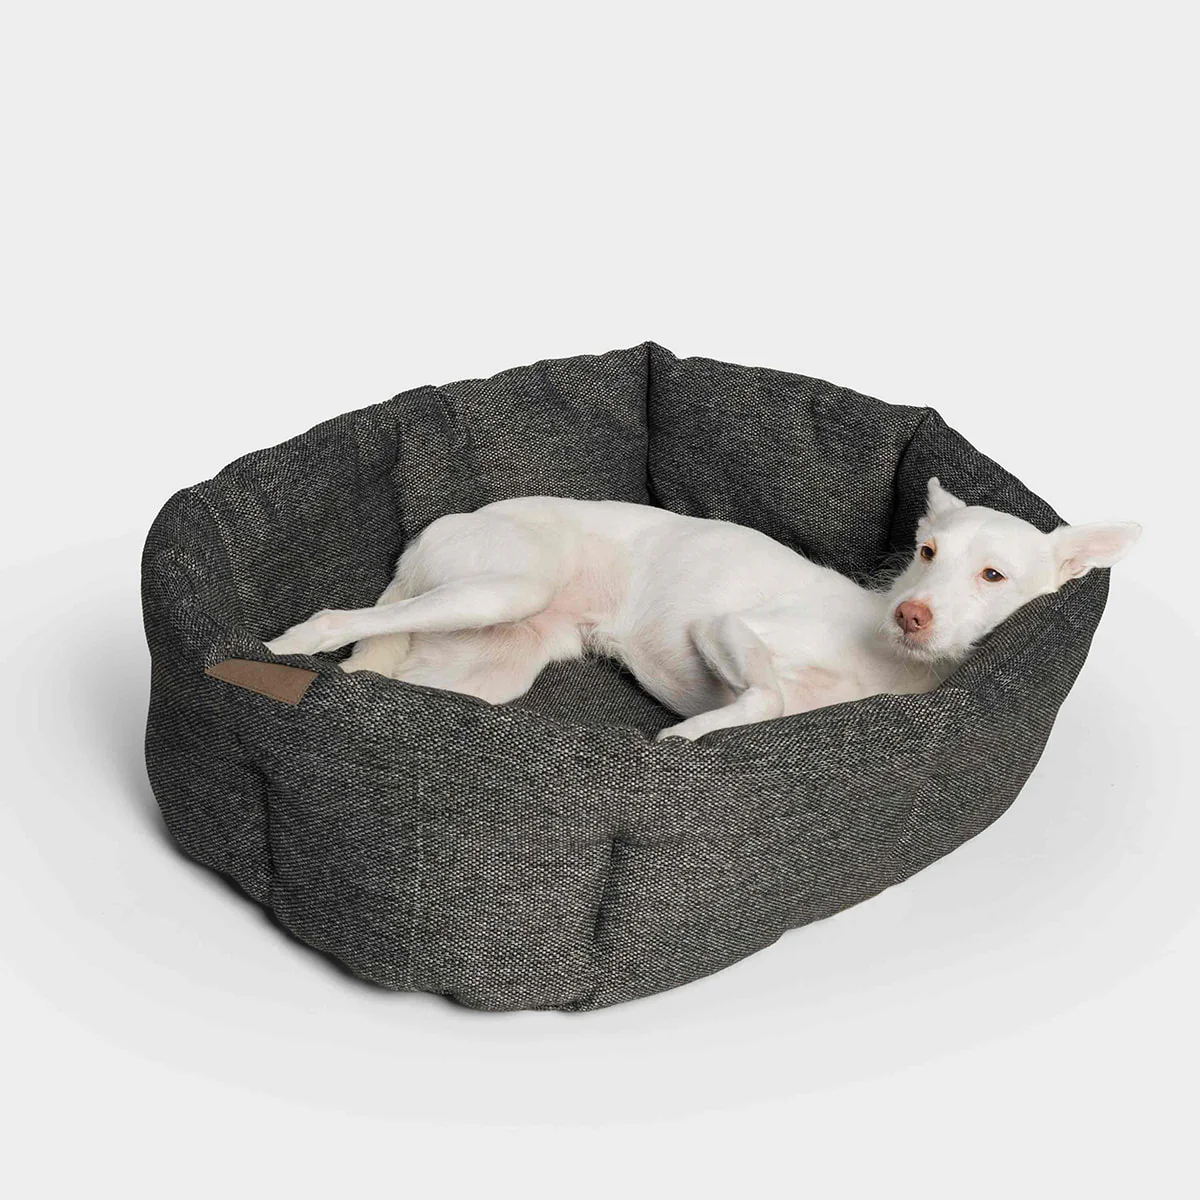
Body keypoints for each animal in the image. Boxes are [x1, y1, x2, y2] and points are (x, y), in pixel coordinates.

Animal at [265, 479, 1140, 740]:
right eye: (926, 553)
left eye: (993, 576)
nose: (913, 615)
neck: (886, 660)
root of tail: (435, 527)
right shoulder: (723, 630)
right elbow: (768, 693)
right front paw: (690, 734)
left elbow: (775, 701)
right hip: (500, 589)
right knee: (338, 624)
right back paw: (284, 646)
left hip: (484, 665)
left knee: (381, 676)